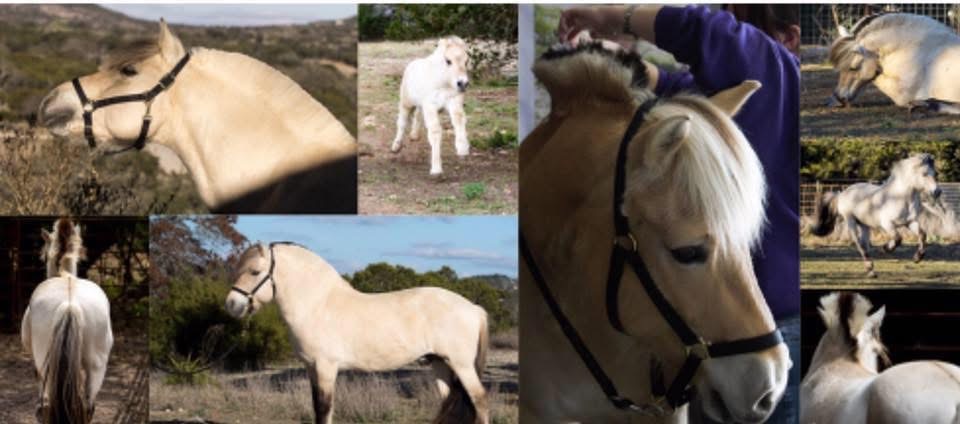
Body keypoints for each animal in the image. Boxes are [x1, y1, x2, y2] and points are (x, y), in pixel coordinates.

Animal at [20, 218, 113, 423]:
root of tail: (70, 305)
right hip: (96, 368)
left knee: (44, 406)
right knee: (88, 407)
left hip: (45, 365)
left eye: (43, 257)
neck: (65, 276)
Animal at [225, 242, 490, 424]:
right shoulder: (311, 368)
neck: (319, 304)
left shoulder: (326, 368)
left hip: (461, 365)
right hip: (439, 363)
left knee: (480, 401)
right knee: (449, 400)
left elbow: (325, 409)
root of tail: (474, 308)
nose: (231, 305)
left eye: (255, 272)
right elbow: (316, 408)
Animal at [390, 36, 470, 176]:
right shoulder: (430, 106)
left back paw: (414, 135)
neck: (443, 82)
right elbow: (435, 131)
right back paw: (396, 146)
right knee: (402, 122)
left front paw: (462, 149)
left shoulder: (454, 101)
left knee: (417, 114)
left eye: (466, 61)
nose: (463, 83)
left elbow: (459, 119)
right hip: (406, 102)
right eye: (448, 61)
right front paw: (436, 169)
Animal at [810, 153, 942, 278]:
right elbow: (898, 238)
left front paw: (917, 258)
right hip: (850, 220)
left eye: (935, 173)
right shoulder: (887, 224)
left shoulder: (910, 222)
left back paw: (871, 271)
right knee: (859, 244)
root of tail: (842, 193)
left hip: (864, 225)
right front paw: (885, 249)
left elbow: (923, 235)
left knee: (864, 244)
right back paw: (870, 268)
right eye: (924, 174)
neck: (899, 198)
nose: (937, 192)